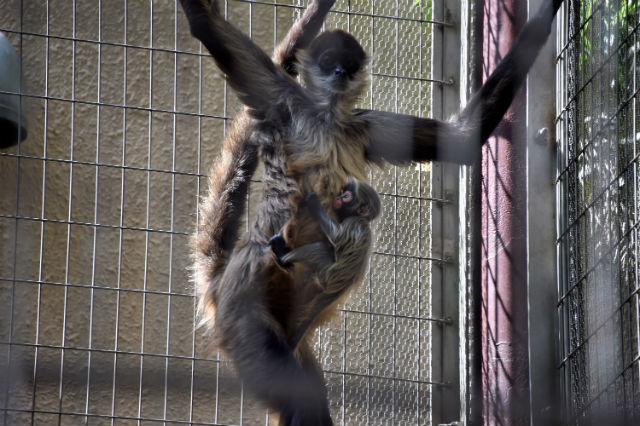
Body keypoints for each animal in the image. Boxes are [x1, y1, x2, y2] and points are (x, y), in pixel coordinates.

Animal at [182, 0, 564, 424]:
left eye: (349, 66)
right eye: (329, 62)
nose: (338, 74)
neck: (329, 117)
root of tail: (223, 284)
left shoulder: (362, 125)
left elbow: (462, 138)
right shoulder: (283, 102)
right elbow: (206, 26)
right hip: (245, 308)